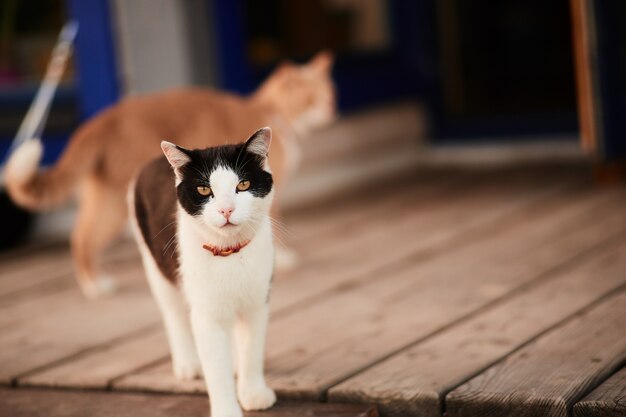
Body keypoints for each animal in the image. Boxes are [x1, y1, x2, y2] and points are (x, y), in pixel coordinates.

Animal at [4, 52, 334, 298]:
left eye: (330, 96)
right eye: (310, 98)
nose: (330, 112)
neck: (273, 110)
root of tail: (99, 120)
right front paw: (285, 258)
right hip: (114, 202)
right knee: (82, 237)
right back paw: (95, 285)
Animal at [129, 127, 276, 416]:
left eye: (243, 185)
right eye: (204, 189)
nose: (226, 209)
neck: (230, 253)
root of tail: (153, 161)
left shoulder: (257, 301)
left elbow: (252, 349)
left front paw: (253, 392)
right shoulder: (206, 314)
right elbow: (215, 367)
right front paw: (227, 410)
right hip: (156, 266)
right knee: (174, 314)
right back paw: (187, 363)